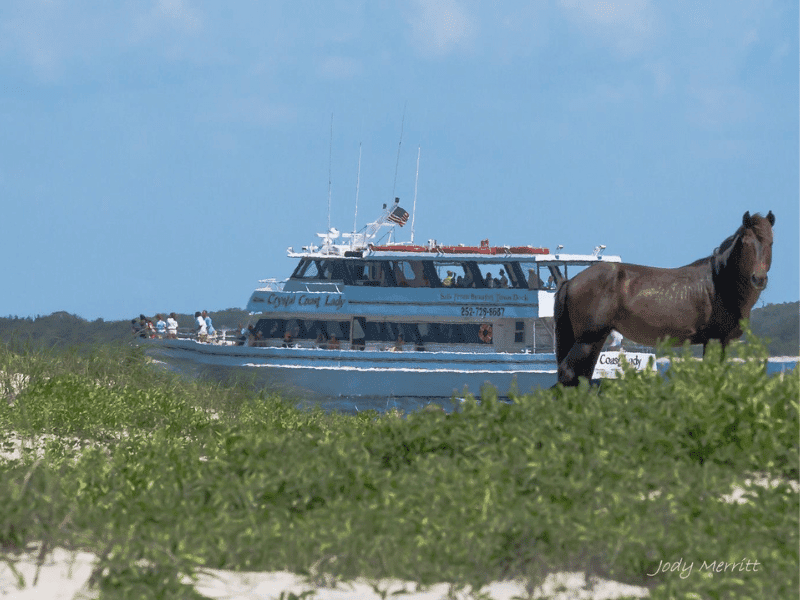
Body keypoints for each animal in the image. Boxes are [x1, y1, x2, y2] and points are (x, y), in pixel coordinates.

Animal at [556, 213, 776, 386]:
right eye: (745, 243)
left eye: (771, 242)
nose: (758, 279)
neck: (719, 282)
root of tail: (571, 281)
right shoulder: (715, 340)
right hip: (588, 339)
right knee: (569, 373)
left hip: (594, 339)